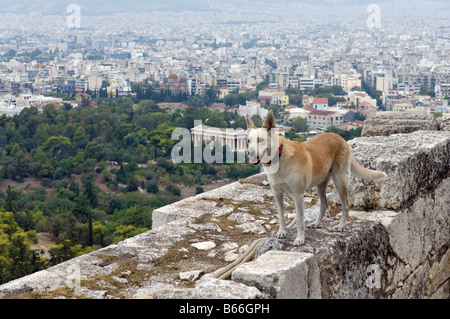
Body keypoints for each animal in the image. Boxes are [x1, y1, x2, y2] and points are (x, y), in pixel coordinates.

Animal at [246, 111, 386, 246]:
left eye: (260, 140)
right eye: (248, 141)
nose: (249, 152)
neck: (279, 156)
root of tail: (340, 137)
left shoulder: (298, 195)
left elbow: (300, 220)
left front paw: (300, 239)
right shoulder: (277, 194)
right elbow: (281, 216)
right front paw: (282, 232)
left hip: (340, 181)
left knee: (345, 206)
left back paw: (341, 226)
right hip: (320, 184)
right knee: (324, 205)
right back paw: (316, 223)